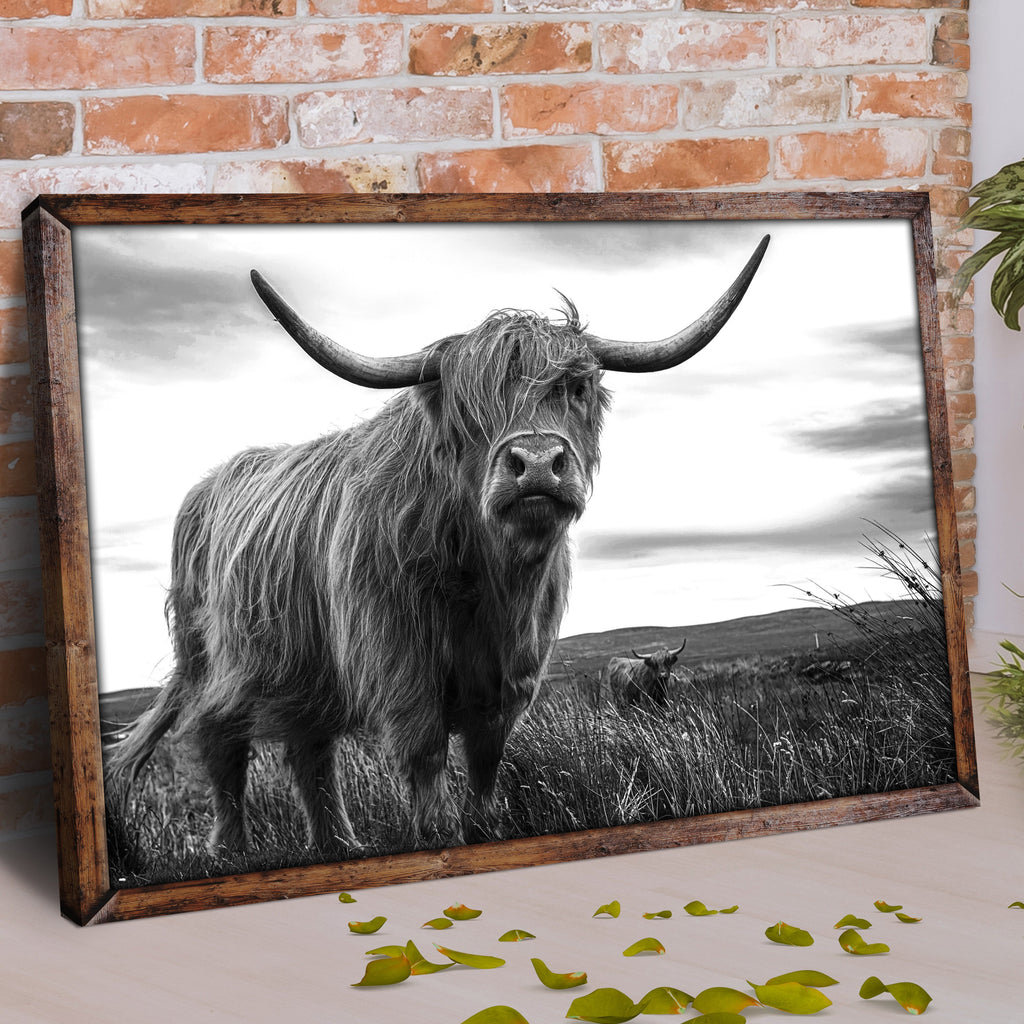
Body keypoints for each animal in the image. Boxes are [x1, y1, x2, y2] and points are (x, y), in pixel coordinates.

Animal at [108, 234, 769, 858]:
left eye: (577, 388)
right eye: (467, 407)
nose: (535, 463)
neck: (488, 582)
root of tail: (209, 485)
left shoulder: (511, 677)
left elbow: (485, 762)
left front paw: (482, 828)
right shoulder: (400, 667)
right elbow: (426, 760)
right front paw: (439, 838)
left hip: (305, 673)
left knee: (309, 752)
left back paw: (339, 846)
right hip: (212, 665)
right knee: (222, 747)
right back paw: (233, 851)